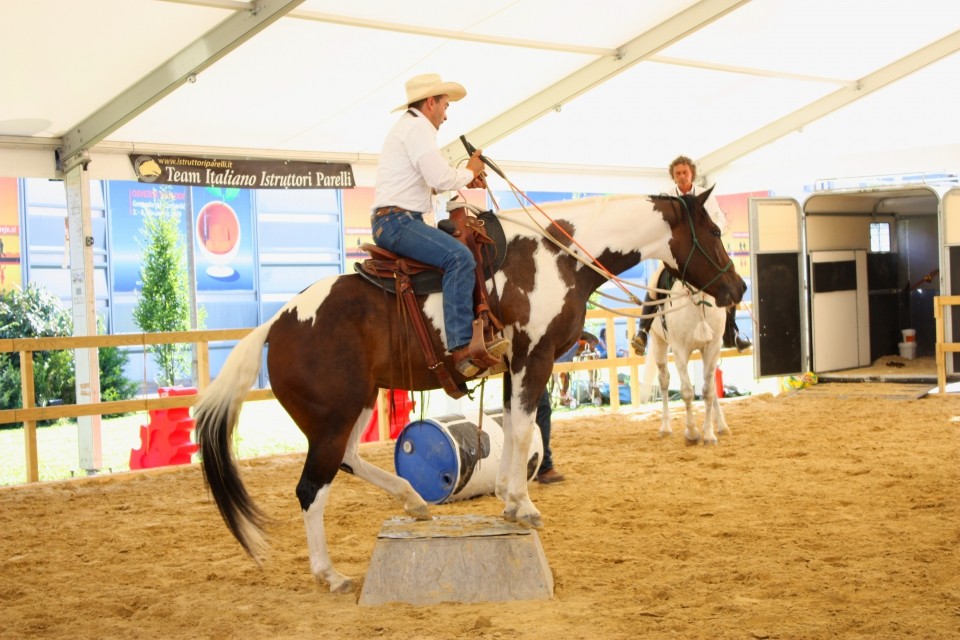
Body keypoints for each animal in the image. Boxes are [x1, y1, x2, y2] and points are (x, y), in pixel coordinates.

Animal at [195, 188, 748, 592]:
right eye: (715, 230)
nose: (738, 289)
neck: (557, 257)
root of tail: (277, 323)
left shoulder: (511, 367)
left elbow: (514, 427)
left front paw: (507, 496)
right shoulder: (534, 358)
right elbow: (523, 430)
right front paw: (522, 504)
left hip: (352, 408)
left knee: (349, 458)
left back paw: (413, 501)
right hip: (333, 416)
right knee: (312, 488)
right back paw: (329, 574)